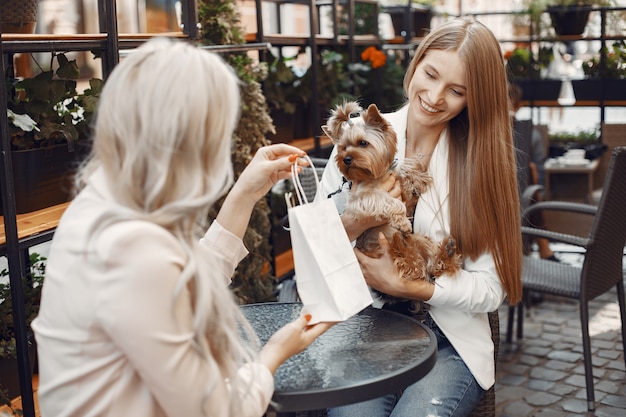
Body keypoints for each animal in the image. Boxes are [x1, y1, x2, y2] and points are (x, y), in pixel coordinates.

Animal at [322, 102, 458, 300]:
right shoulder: (361, 200)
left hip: (419, 241)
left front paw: (416, 175)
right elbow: (388, 201)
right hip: (378, 249)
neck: (373, 176)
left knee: (429, 266)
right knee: (410, 267)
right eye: (342, 148)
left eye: (362, 143)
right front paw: (402, 221)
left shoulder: (401, 194)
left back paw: (444, 251)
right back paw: (401, 247)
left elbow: (406, 187)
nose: (346, 159)